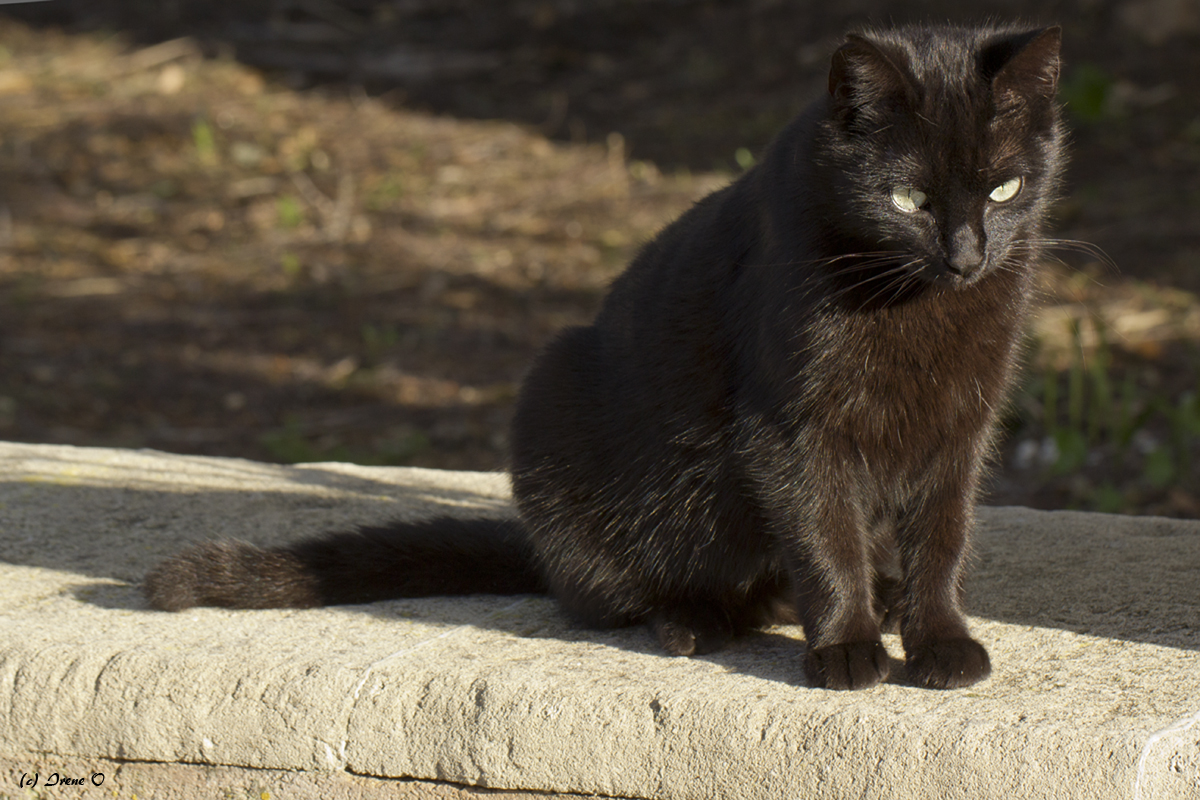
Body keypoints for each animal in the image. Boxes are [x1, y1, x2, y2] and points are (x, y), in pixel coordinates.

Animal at [145, 21, 1065, 690]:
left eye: (1004, 188)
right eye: (908, 197)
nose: (968, 253)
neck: (918, 304)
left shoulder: (960, 425)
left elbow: (942, 540)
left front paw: (938, 641)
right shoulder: (791, 430)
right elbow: (825, 535)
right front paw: (845, 647)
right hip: (554, 398)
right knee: (613, 596)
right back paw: (695, 620)